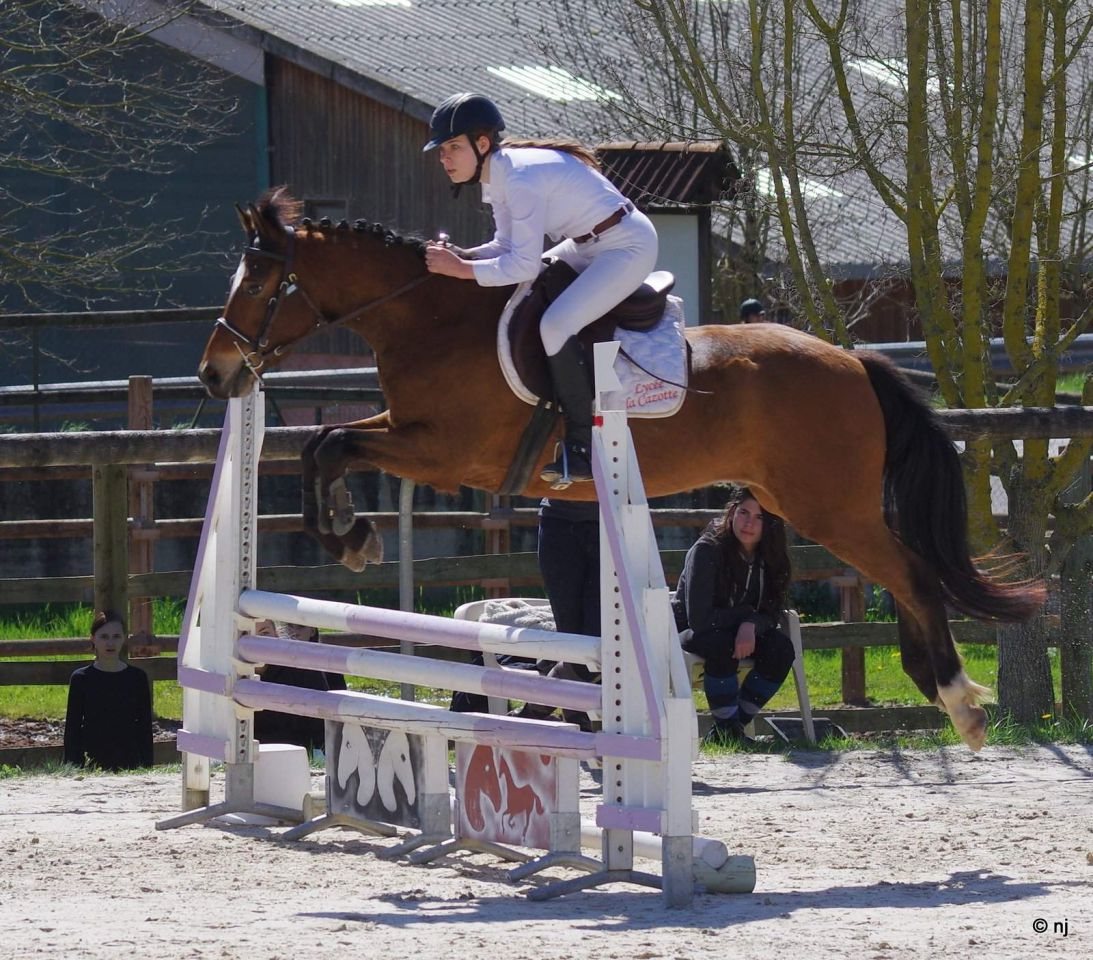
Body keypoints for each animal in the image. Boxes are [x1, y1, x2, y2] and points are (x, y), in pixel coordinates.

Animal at [198, 188, 1044, 751]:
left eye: (261, 283)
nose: (215, 375)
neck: (431, 318)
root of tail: (854, 360)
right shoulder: (411, 432)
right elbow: (322, 443)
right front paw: (350, 533)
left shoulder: (447, 450)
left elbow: (333, 443)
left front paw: (350, 537)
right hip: (803, 499)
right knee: (904, 575)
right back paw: (942, 687)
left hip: (827, 506)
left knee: (913, 574)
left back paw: (957, 700)